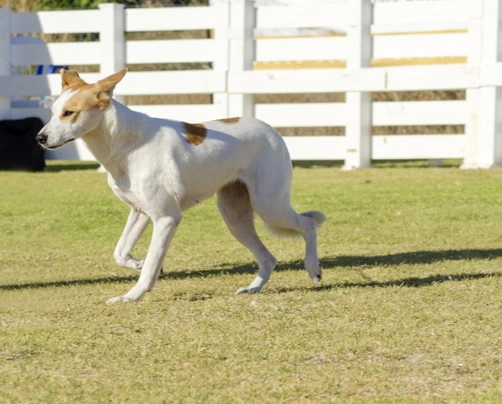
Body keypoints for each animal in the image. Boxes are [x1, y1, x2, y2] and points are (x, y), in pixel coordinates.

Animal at [35, 69, 326, 304]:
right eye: (53, 113)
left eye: (69, 113)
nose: (40, 138)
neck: (126, 144)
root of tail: (271, 130)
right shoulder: (140, 212)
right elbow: (120, 252)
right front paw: (139, 264)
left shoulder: (166, 218)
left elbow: (151, 264)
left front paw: (132, 295)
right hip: (235, 217)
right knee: (268, 258)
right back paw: (253, 289)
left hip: (269, 206)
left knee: (308, 224)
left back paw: (313, 269)